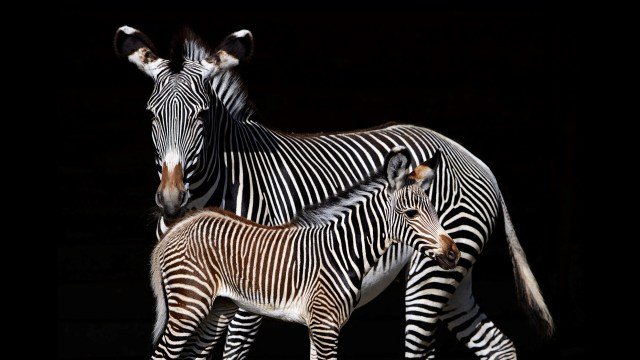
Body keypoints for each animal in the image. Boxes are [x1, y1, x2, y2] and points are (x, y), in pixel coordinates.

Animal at [150, 147, 460, 360]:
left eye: (435, 212)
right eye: (411, 214)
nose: (454, 254)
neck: (344, 251)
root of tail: (178, 228)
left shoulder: (320, 325)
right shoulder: (325, 324)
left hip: (218, 307)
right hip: (188, 304)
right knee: (163, 354)